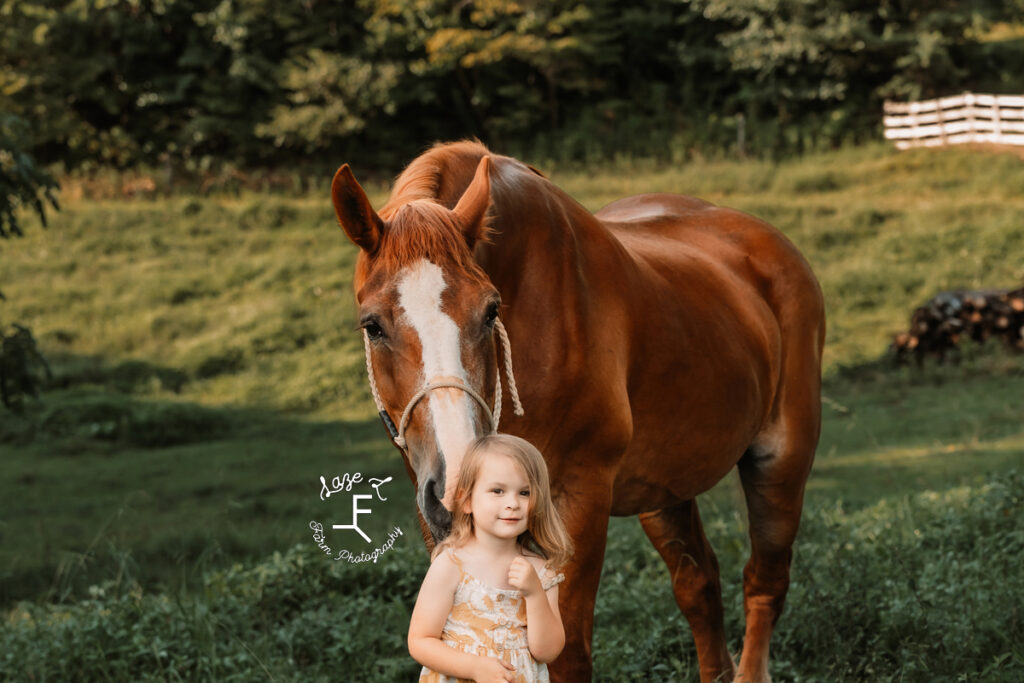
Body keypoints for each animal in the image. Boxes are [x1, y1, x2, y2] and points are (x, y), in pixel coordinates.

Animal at [331, 141, 827, 679]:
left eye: (490, 311)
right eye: (372, 325)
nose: (460, 483)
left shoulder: (578, 499)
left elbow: (567, 652)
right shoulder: (435, 514)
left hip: (781, 461)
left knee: (765, 582)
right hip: (665, 491)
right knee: (699, 584)